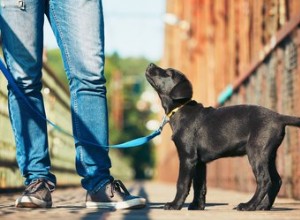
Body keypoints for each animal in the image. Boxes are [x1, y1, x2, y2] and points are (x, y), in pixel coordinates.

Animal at [145, 62, 300, 211]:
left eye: (168, 73)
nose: (150, 64)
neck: (180, 108)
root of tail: (279, 117)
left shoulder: (187, 157)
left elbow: (182, 183)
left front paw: (175, 205)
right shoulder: (199, 162)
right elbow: (199, 186)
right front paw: (197, 206)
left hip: (257, 152)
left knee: (265, 180)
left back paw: (248, 205)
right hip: (269, 155)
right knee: (276, 180)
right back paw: (263, 206)